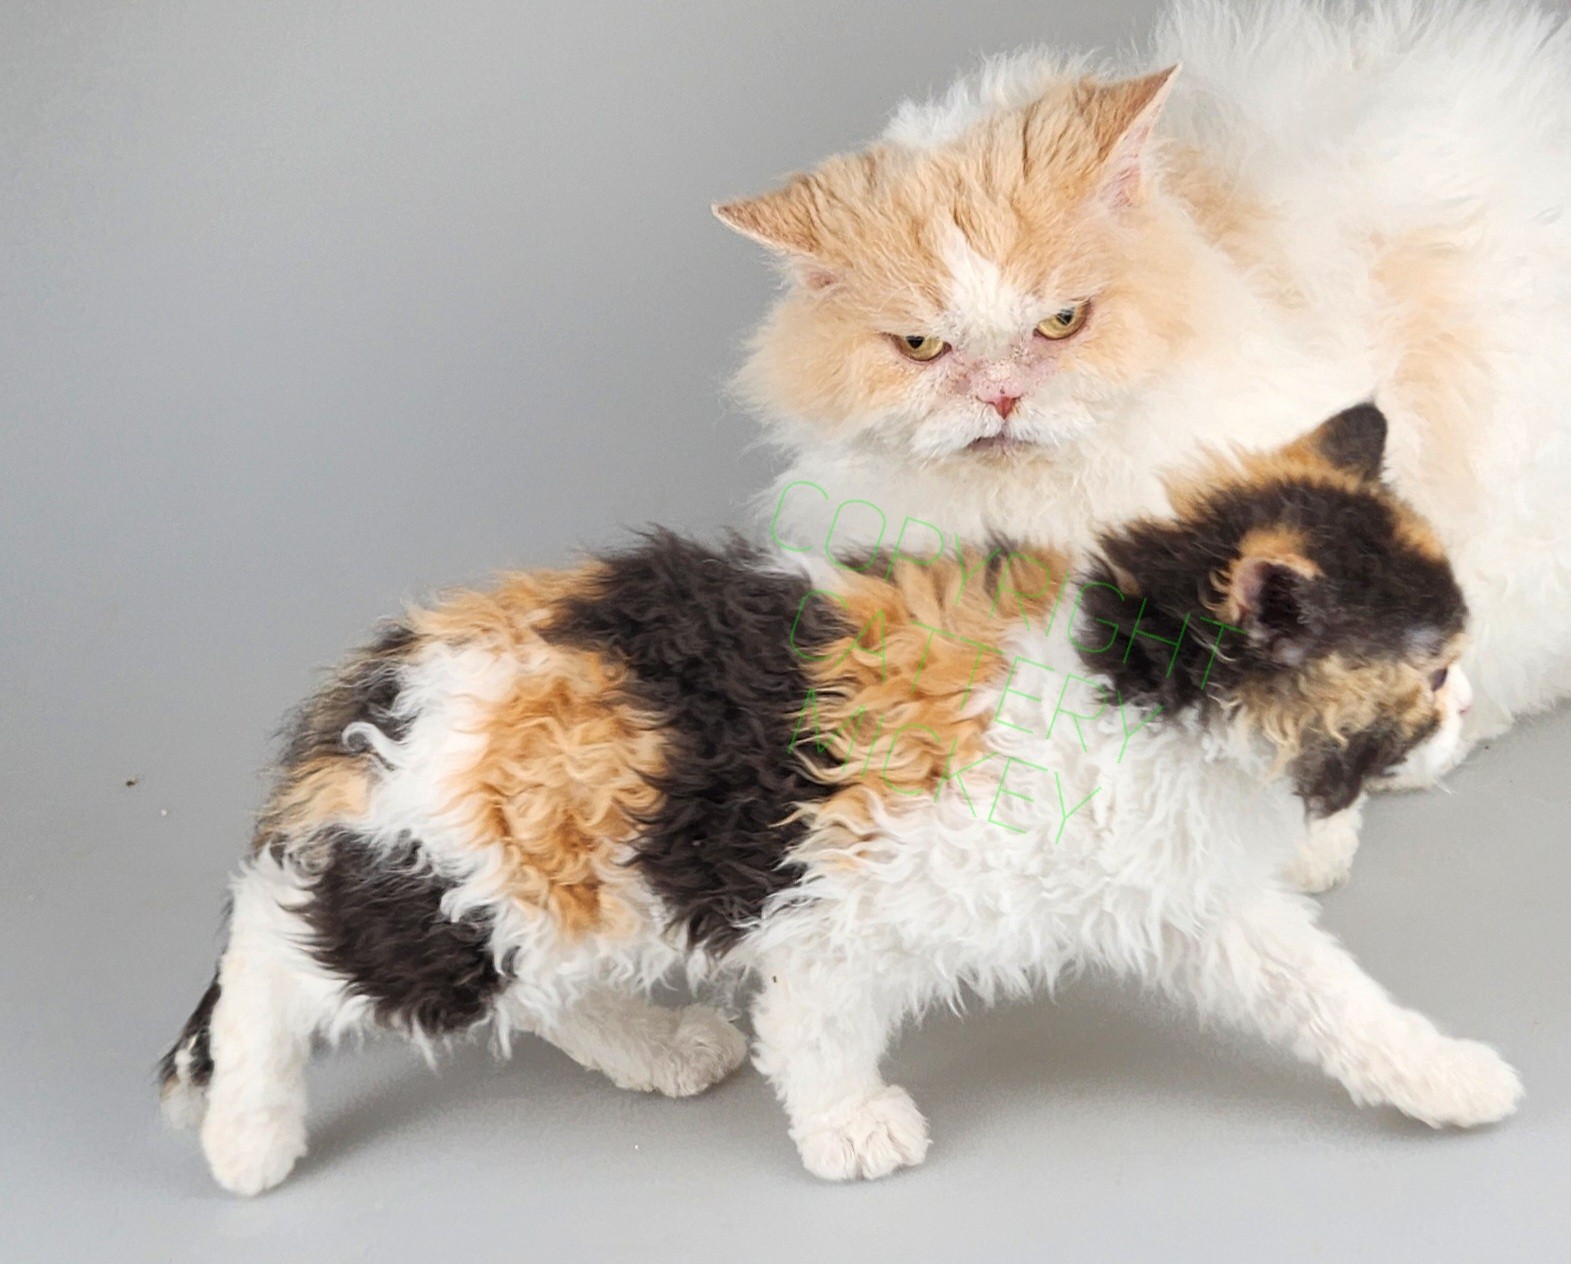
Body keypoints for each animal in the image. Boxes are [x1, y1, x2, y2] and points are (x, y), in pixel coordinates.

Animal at [160, 405, 1518, 1194]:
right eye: (1429, 672)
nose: (1466, 706)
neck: (1115, 685)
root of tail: (389, 669)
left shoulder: (1189, 901)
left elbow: (1329, 998)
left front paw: (1444, 1079)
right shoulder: (852, 899)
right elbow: (813, 1023)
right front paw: (851, 1131)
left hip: (560, 889)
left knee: (549, 989)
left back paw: (657, 1049)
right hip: (464, 883)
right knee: (270, 943)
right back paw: (245, 1137)